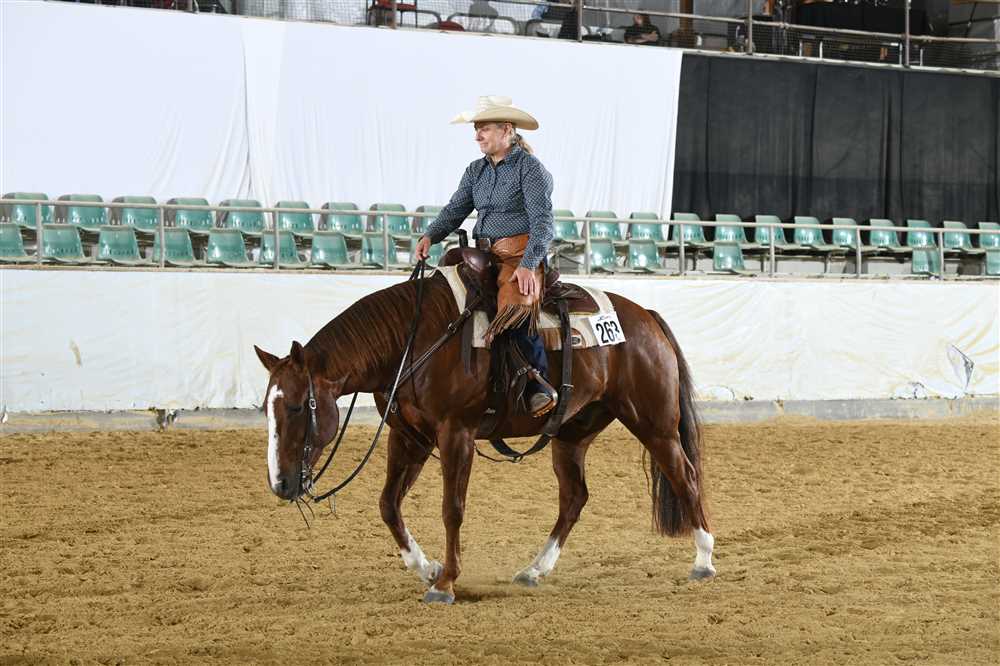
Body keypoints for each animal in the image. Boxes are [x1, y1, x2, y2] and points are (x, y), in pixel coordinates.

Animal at [253, 270, 715, 604]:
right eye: (268, 408)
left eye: (297, 406)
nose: (280, 484)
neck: (413, 342)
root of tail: (646, 317)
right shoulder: (409, 436)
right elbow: (388, 505)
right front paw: (428, 568)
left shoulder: (455, 433)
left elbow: (452, 509)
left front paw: (445, 584)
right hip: (573, 432)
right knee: (574, 499)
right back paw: (534, 569)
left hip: (654, 424)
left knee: (685, 477)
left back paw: (705, 560)